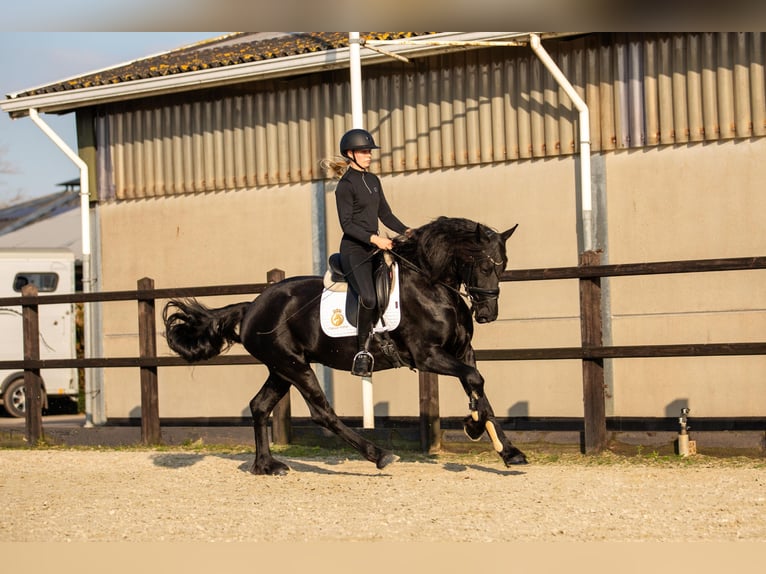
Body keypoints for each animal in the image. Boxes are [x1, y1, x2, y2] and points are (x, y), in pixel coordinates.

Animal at [165, 217, 528, 476]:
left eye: (503, 265)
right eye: (485, 265)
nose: (487, 314)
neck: (432, 286)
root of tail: (252, 306)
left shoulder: (462, 352)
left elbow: (478, 385)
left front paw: (508, 451)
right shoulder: (428, 356)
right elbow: (475, 380)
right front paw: (474, 425)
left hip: (281, 368)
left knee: (259, 405)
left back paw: (266, 466)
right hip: (294, 366)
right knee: (322, 412)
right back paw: (379, 455)